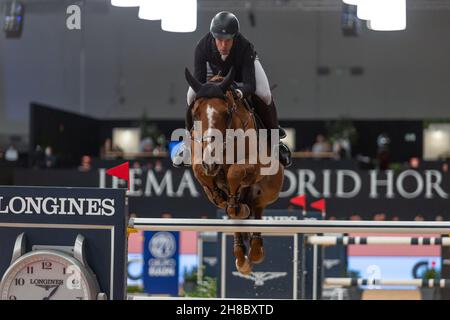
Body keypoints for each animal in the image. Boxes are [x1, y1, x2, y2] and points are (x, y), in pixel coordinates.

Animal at [184, 67, 284, 276]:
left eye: (226, 113)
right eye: (196, 114)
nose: (211, 161)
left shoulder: (255, 165)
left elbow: (235, 172)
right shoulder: (200, 160)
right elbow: (201, 171)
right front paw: (219, 195)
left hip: (269, 188)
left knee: (256, 207)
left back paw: (255, 251)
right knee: (236, 216)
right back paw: (241, 256)